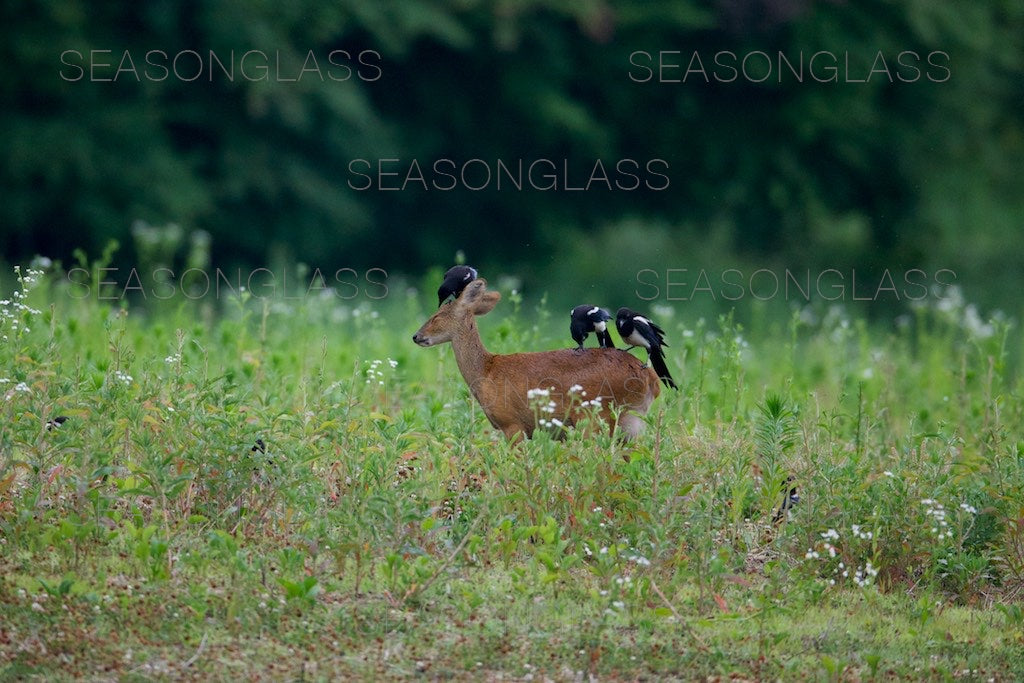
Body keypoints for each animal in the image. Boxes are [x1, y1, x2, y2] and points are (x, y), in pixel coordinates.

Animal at [413, 280, 663, 440]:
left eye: (437, 316)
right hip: (632, 422)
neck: (486, 370)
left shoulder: (512, 424)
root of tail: (652, 381)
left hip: (596, 417)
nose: (416, 336)